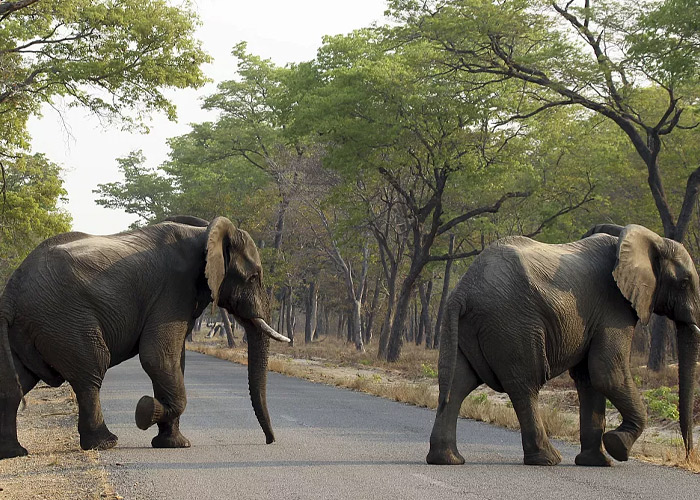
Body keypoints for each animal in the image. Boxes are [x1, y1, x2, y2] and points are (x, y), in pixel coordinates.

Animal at [0, 214, 288, 458]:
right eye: (254, 277)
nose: (269, 441)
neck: (204, 232)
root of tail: (11, 293)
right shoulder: (173, 289)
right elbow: (157, 357)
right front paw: (144, 411)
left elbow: (174, 361)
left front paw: (173, 444)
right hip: (64, 318)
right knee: (91, 371)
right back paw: (105, 443)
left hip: (30, 328)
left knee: (17, 382)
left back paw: (15, 452)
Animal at [426, 225, 700, 466]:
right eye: (684, 282)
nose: (688, 455)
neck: (647, 238)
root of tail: (462, 291)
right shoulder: (614, 308)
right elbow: (607, 372)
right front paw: (617, 446)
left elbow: (589, 378)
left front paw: (597, 463)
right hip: (512, 323)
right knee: (525, 385)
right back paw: (548, 460)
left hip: (471, 326)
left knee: (457, 383)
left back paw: (447, 460)